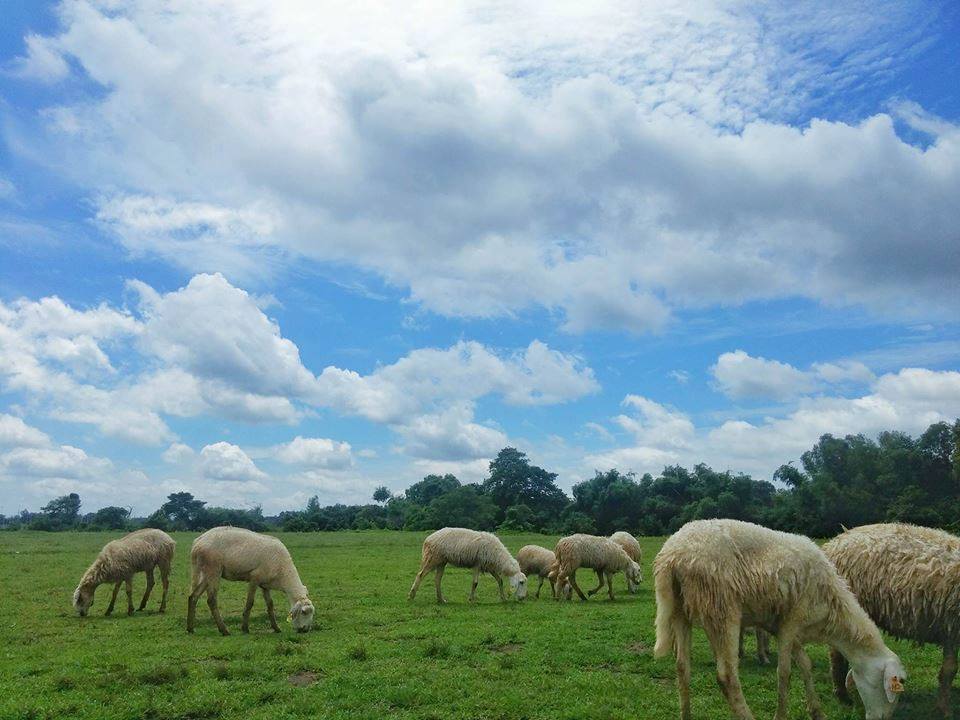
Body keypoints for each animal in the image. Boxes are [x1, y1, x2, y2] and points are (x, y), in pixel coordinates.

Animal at [184, 524, 312, 636]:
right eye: (304, 612)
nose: (305, 630)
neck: (283, 574)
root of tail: (197, 542)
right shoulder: (254, 578)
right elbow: (250, 602)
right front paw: (245, 628)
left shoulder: (265, 584)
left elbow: (270, 605)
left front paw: (276, 628)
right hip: (213, 569)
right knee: (211, 600)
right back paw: (224, 630)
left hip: (207, 573)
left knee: (193, 596)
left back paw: (190, 629)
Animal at [652, 520, 908, 720]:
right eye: (897, 686)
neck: (832, 616)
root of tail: (672, 556)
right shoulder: (791, 621)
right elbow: (784, 673)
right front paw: (781, 714)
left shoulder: (783, 627)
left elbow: (805, 664)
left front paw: (816, 711)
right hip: (722, 610)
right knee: (726, 676)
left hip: (680, 612)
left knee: (682, 668)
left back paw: (686, 713)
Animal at [820, 524, 956, 716]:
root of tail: (835, 541)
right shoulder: (952, 626)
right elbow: (949, 671)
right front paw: (944, 710)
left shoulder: (950, 630)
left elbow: (949, 670)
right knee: (836, 654)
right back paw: (842, 695)